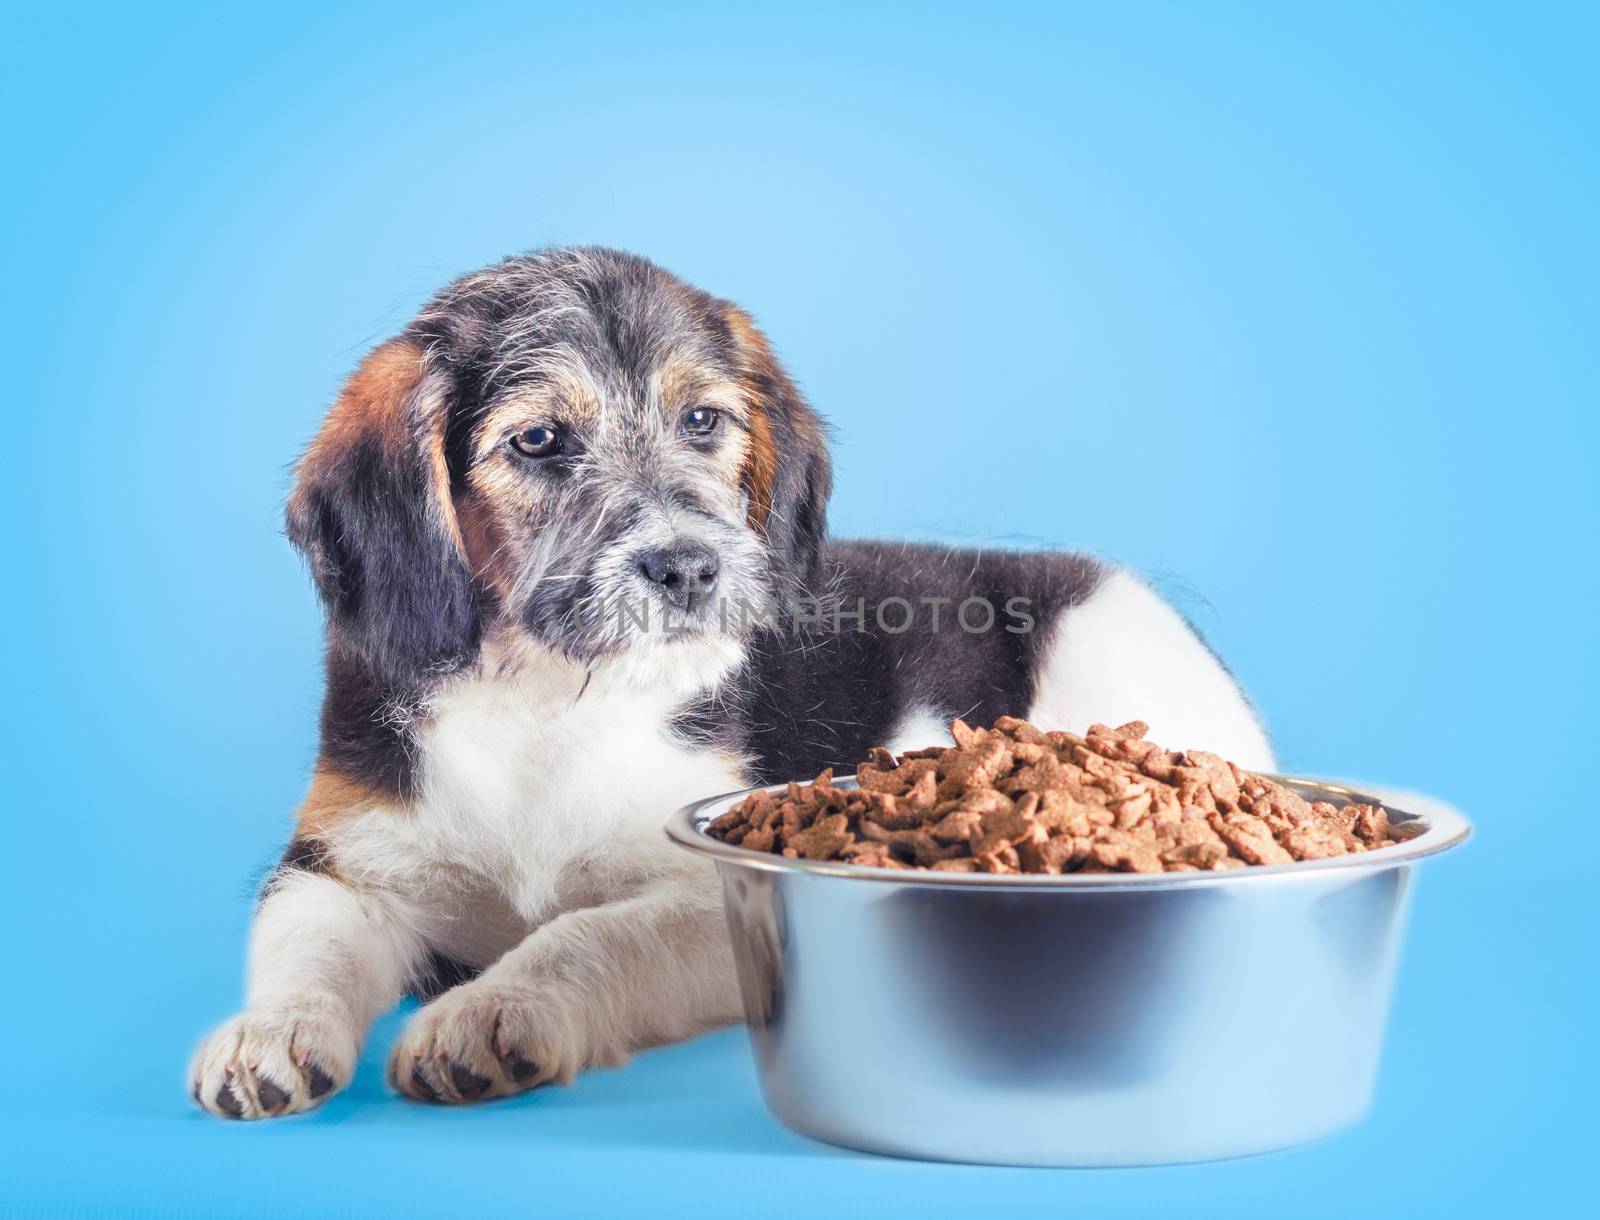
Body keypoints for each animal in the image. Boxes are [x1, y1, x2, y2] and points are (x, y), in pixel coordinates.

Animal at [187, 244, 1267, 1114]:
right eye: (538, 440)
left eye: (703, 419)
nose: (689, 568)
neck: (547, 700)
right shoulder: (343, 863)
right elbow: (306, 946)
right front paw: (267, 1032)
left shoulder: (709, 886)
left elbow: (587, 935)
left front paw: (491, 1010)